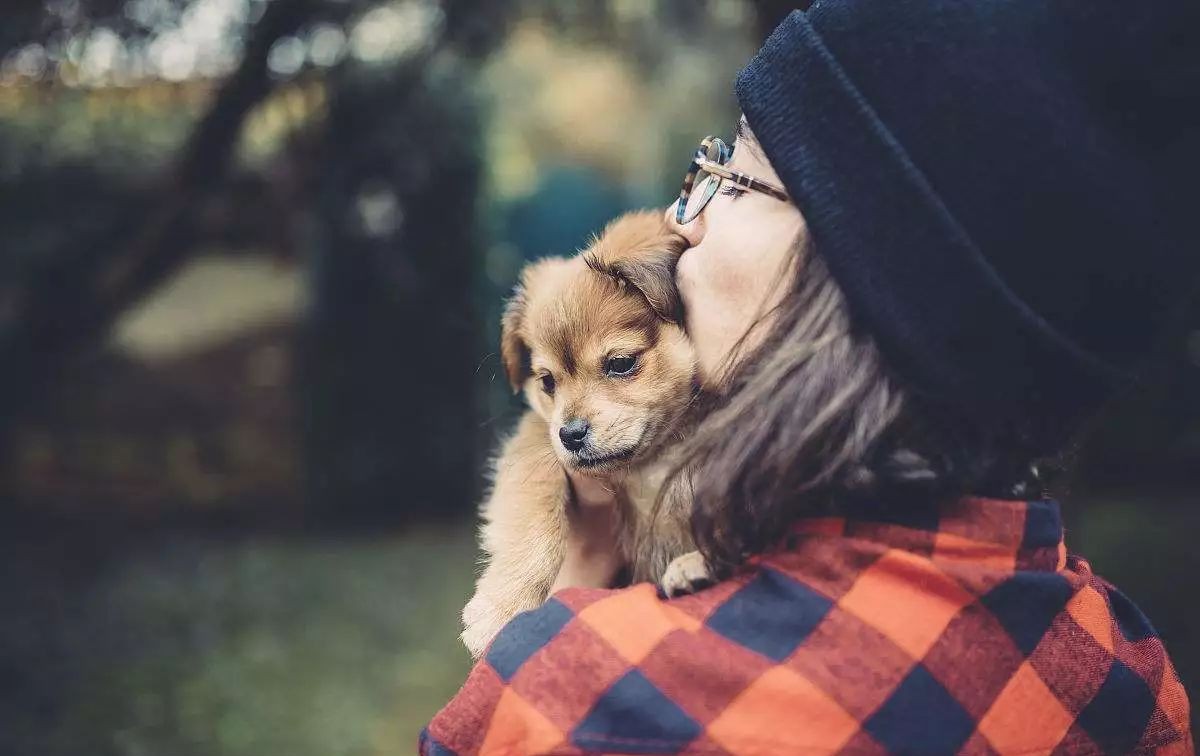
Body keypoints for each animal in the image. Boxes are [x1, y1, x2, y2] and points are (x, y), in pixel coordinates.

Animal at [456, 210, 700, 662]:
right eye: (547, 382)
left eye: (621, 363)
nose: (570, 434)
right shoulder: (536, 437)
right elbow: (536, 508)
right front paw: (505, 605)